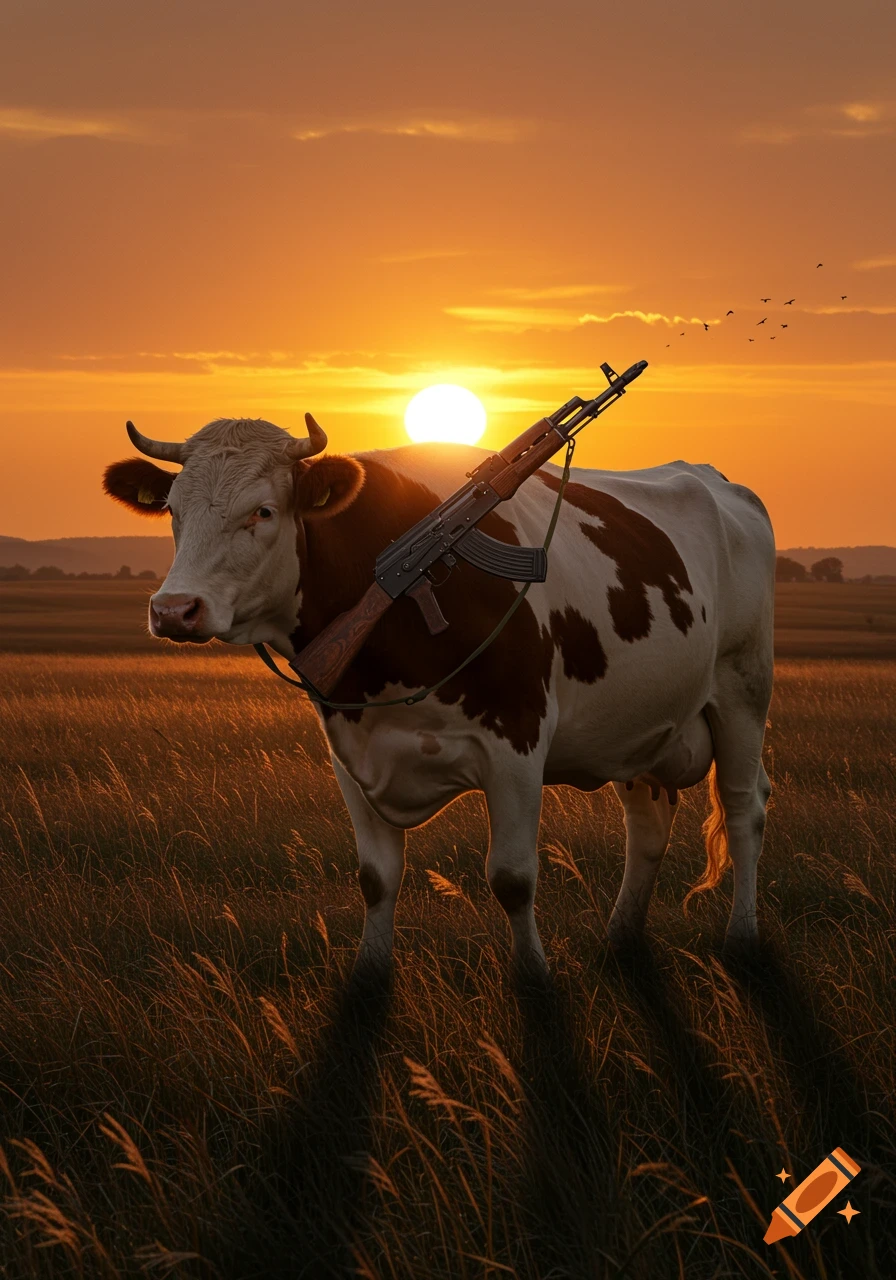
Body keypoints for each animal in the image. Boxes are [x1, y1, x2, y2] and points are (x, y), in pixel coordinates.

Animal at [104, 413, 775, 976]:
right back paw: (622, 936)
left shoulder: (516, 744)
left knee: (744, 807)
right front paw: (370, 973)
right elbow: (376, 877)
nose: (174, 610)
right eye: (172, 510)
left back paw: (743, 937)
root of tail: (717, 481)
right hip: (637, 724)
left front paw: (533, 975)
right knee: (649, 823)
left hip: (743, 689)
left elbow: (512, 878)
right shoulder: (349, 749)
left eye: (263, 512)